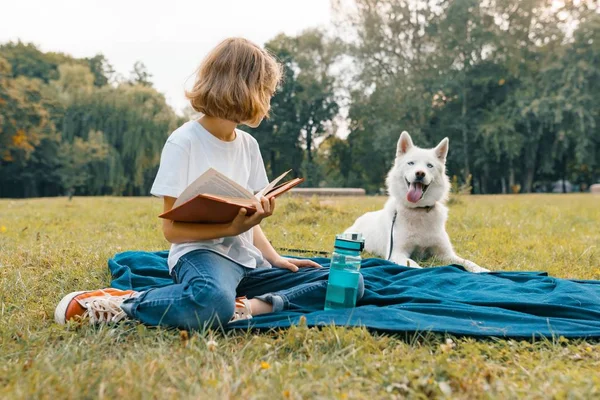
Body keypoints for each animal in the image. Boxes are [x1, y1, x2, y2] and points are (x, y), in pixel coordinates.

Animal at [344, 133, 490, 274]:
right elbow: (415, 266)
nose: (420, 173)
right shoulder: (397, 253)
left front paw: (483, 270)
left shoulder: (445, 254)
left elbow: (468, 262)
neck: (418, 210)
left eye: (429, 166)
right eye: (411, 163)